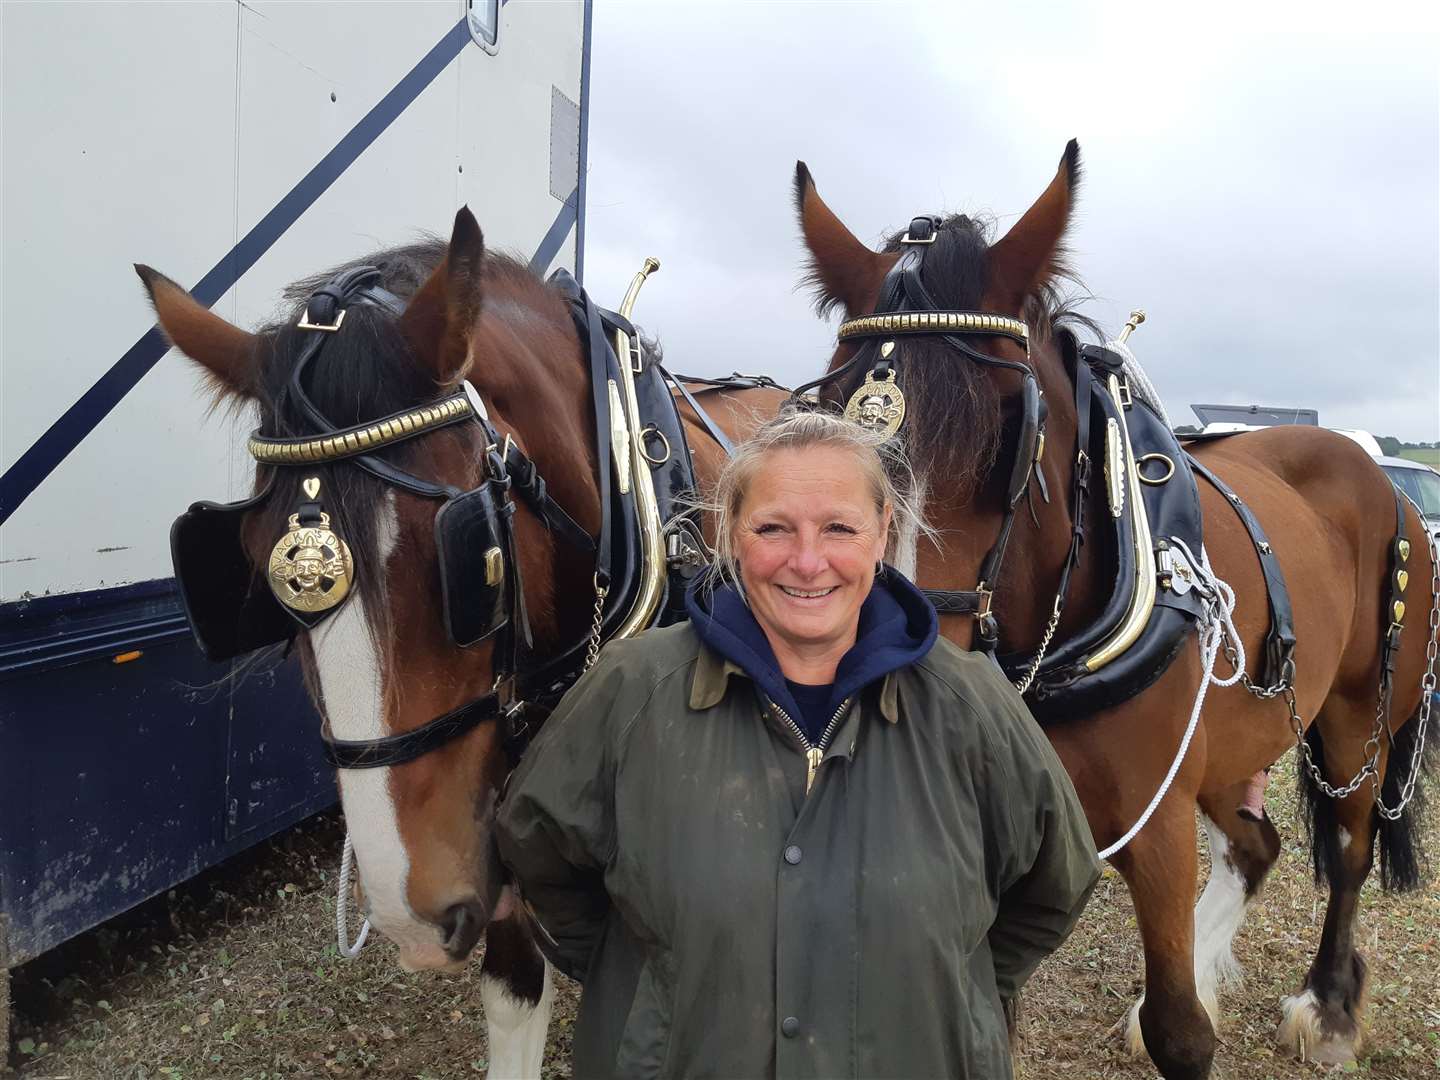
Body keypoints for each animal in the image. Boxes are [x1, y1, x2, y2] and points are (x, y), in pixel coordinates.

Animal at [794, 139, 1434, 1077]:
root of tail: (1377, 477)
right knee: (1257, 846)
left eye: (1009, 436)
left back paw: (1328, 1009)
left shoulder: (1155, 823)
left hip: (1360, 711)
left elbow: (1182, 1034)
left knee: (1348, 849)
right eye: (822, 416)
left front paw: (1200, 1004)